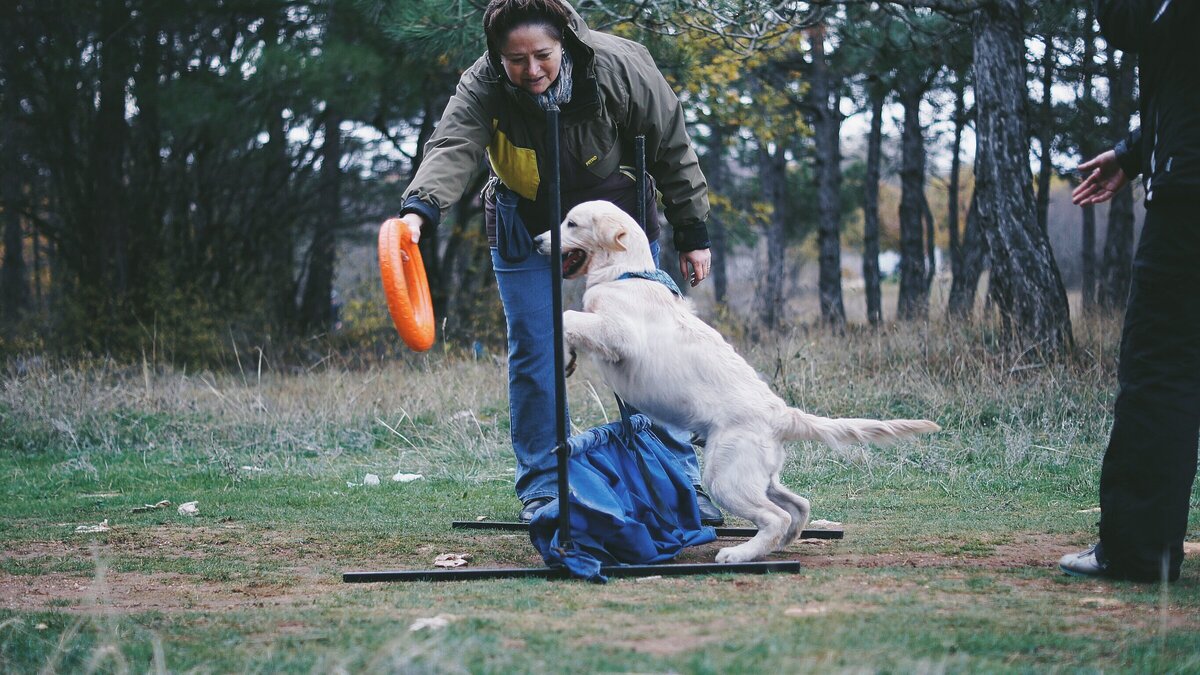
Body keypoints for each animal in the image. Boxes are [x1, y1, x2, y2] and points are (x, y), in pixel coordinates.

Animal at [532, 200, 936, 562]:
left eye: (571, 223)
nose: (536, 240)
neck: (622, 274)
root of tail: (782, 414)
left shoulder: (621, 336)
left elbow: (569, 316)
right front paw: (567, 357)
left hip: (724, 475)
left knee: (776, 516)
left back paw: (740, 553)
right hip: (756, 474)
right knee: (798, 505)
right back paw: (781, 543)